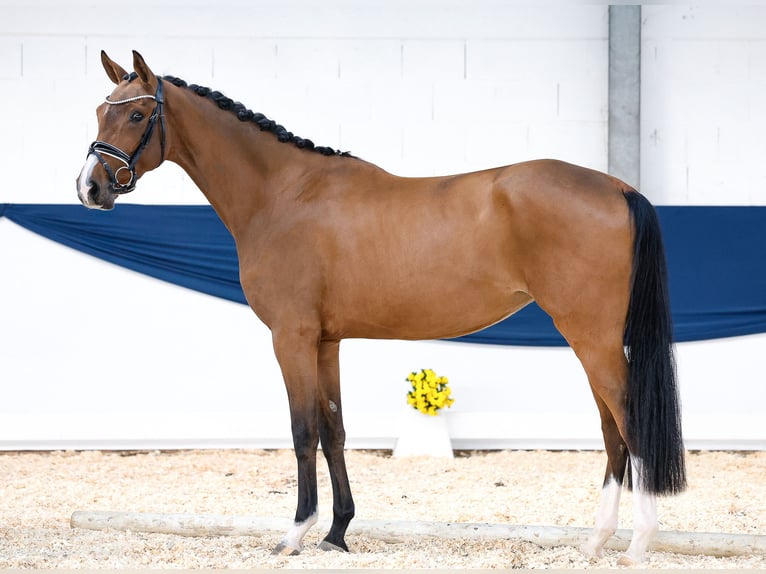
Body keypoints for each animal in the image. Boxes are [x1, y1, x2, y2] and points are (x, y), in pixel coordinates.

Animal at [78, 50, 688, 568]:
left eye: (137, 114)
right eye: (101, 111)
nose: (90, 187)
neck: (283, 195)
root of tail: (617, 188)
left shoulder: (291, 337)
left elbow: (302, 430)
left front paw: (295, 534)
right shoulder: (326, 341)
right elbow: (334, 429)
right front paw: (337, 533)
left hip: (592, 336)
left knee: (629, 421)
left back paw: (639, 543)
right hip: (591, 340)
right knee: (611, 428)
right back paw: (597, 541)